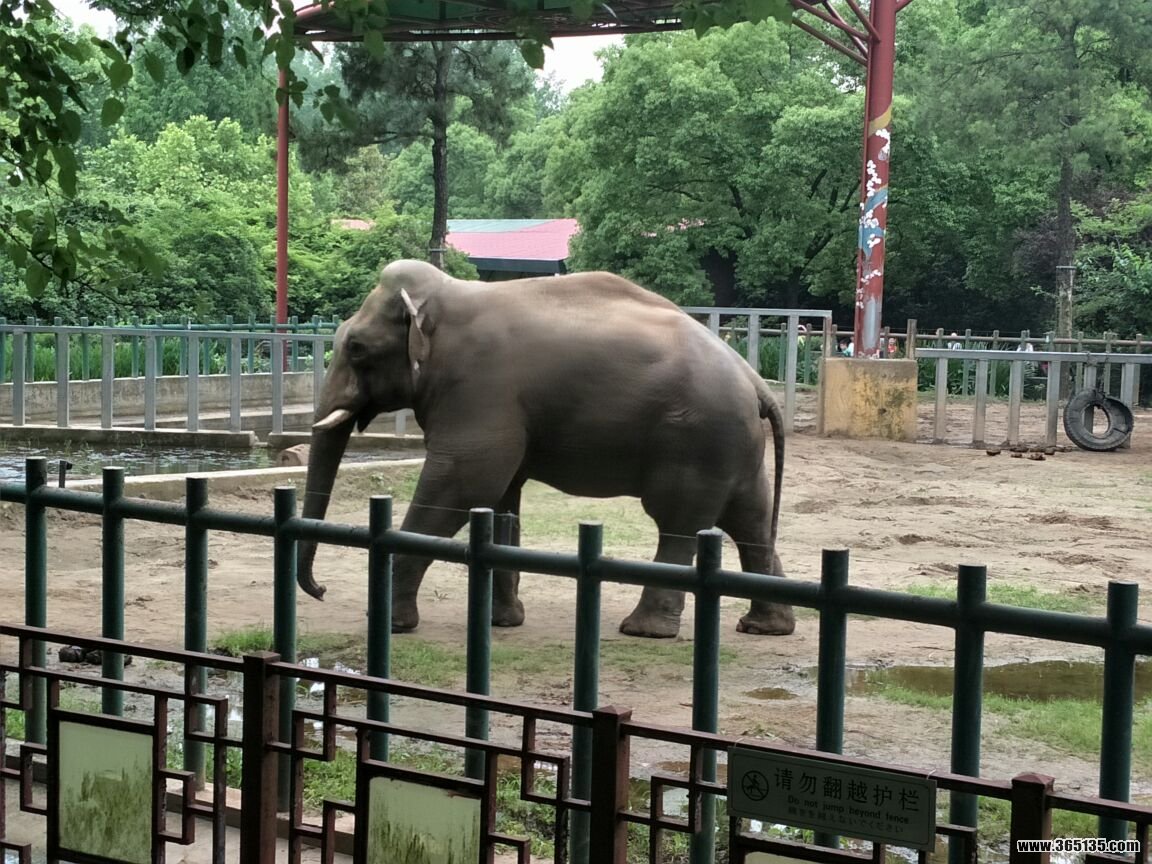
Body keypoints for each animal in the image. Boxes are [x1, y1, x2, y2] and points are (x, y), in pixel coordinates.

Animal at [296, 259, 793, 639]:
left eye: (356, 348)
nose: (321, 591)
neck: (446, 297)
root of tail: (753, 379)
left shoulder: (481, 389)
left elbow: (460, 485)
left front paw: (391, 625)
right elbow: (498, 498)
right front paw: (502, 623)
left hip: (696, 439)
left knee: (678, 521)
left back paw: (644, 630)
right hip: (734, 444)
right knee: (749, 519)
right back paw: (765, 627)